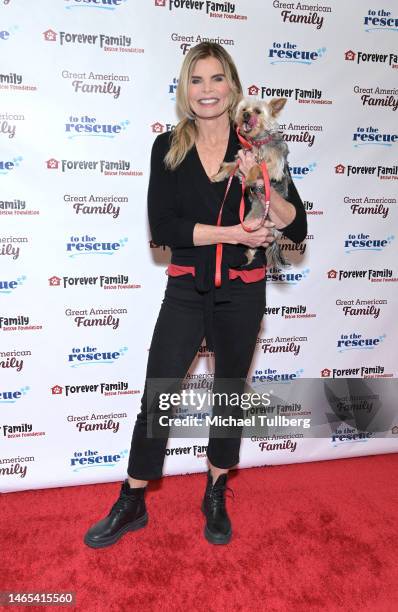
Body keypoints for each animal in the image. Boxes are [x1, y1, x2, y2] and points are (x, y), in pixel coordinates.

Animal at [213, 97, 290, 266]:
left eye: (258, 111)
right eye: (244, 109)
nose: (246, 115)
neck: (257, 142)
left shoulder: (274, 167)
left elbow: (256, 166)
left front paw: (249, 178)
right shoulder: (242, 159)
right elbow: (232, 165)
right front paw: (219, 174)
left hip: (253, 221)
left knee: (253, 245)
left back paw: (247, 258)